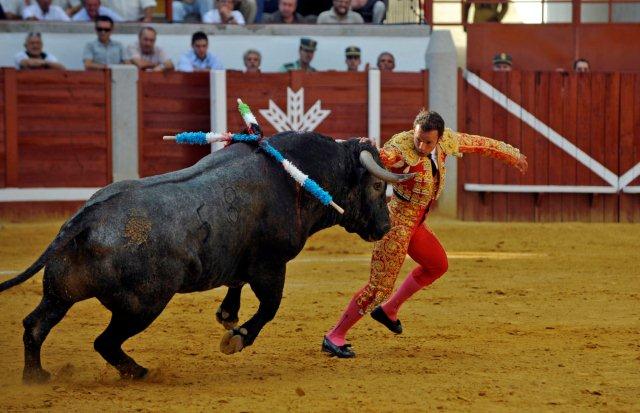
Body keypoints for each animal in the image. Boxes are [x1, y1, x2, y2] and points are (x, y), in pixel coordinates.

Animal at [1, 132, 410, 384]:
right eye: (378, 185)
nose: (385, 225)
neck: (297, 176)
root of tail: (87, 217)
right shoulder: (271, 264)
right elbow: (269, 307)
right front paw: (236, 338)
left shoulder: (242, 261)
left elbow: (236, 283)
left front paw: (227, 315)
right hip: (143, 305)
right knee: (104, 342)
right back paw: (140, 372)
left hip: (62, 291)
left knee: (35, 325)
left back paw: (36, 377)